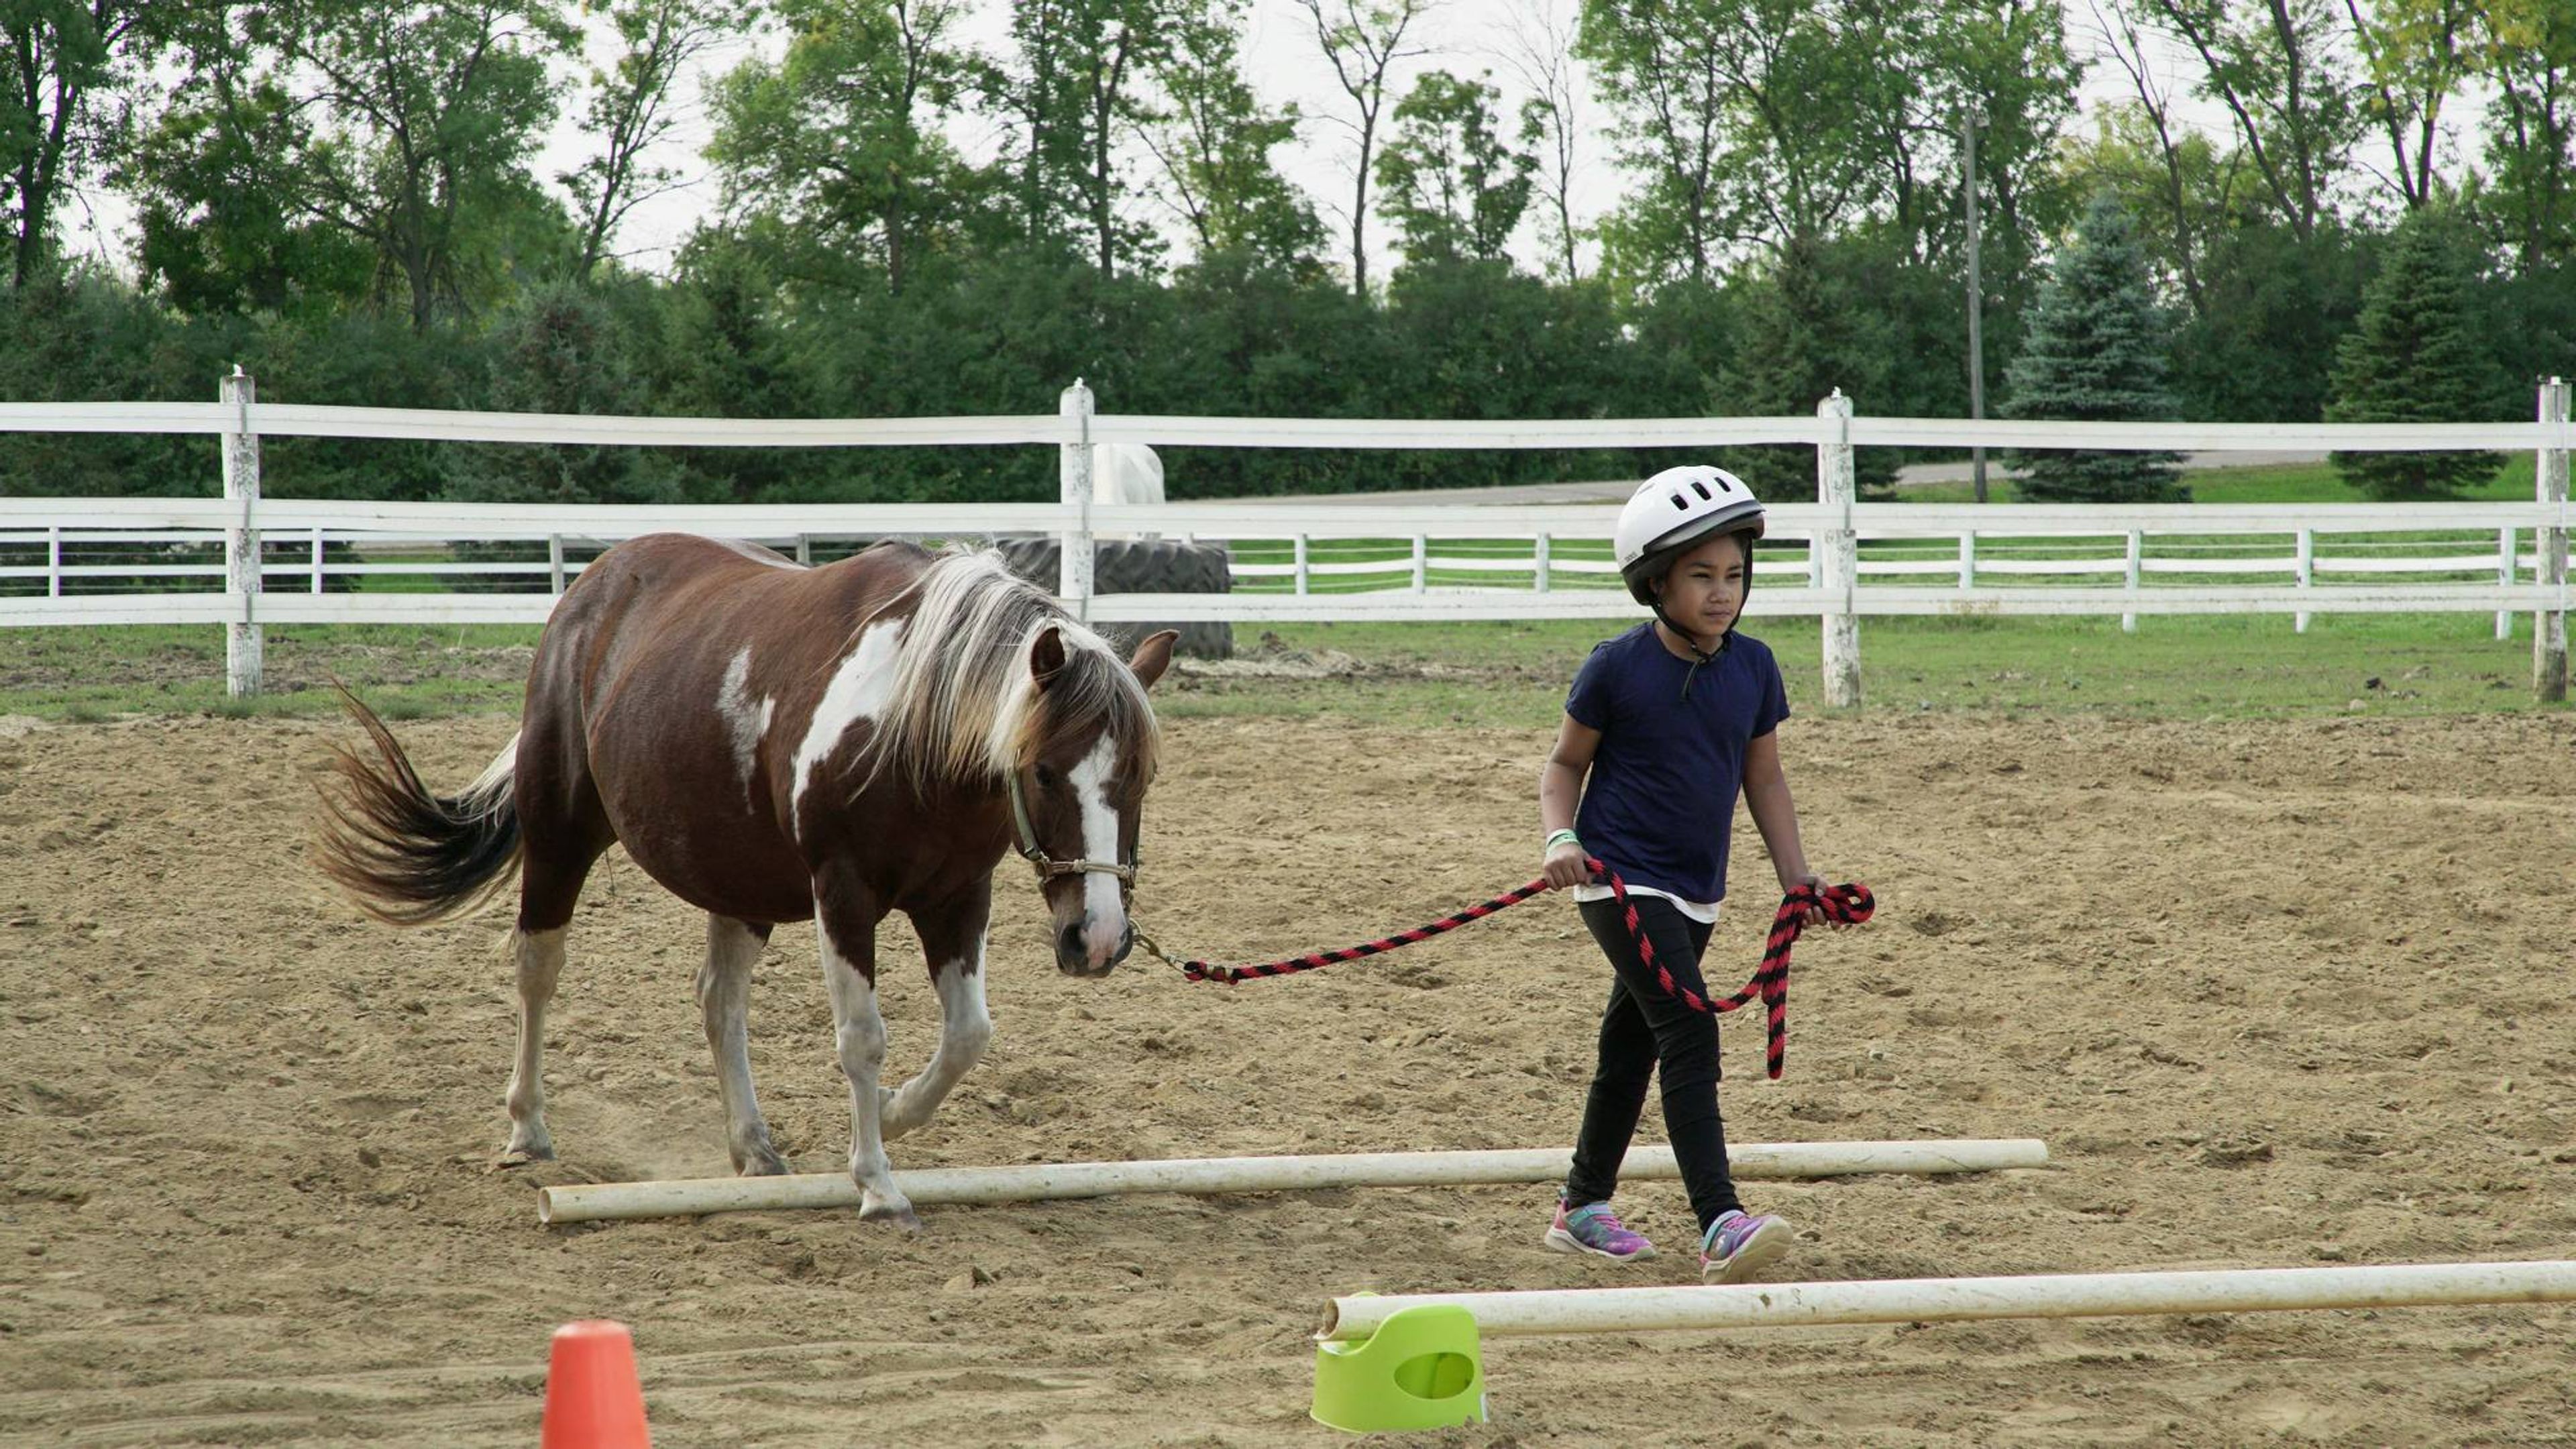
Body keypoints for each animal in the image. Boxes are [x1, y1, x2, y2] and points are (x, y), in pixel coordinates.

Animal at [309, 536, 1179, 1222]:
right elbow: (862, 1039)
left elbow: (968, 1036)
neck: (909, 723)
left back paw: (753, 1146)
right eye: (1042, 771)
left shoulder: (958, 897)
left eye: (1141, 776)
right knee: (538, 970)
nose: (1099, 938)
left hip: (737, 881)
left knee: (718, 1001)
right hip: (561, 837)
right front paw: (876, 1182)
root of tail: (594, 588)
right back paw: (527, 1128)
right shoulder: (842, 892)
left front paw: (893, 1115)